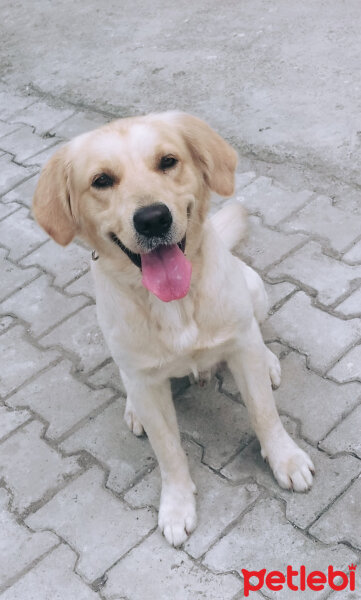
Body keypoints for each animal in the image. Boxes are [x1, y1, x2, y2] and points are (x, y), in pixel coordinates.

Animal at [34, 110, 316, 548]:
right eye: (101, 180)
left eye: (168, 161)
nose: (153, 219)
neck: (174, 303)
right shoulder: (147, 382)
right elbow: (168, 451)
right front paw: (177, 506)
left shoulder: (239, 345)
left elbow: (264, 413)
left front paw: (285, 458)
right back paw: (133, 410)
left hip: (254, 291)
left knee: (258, 335)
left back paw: (268, 361)